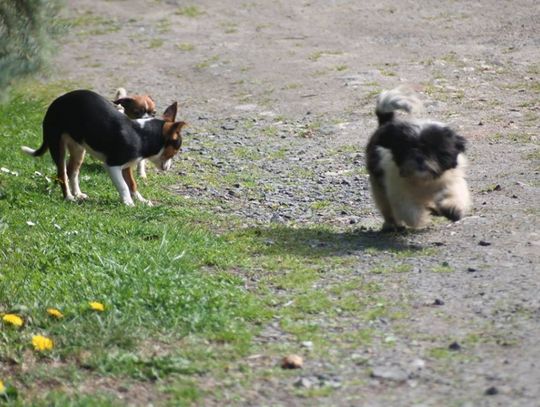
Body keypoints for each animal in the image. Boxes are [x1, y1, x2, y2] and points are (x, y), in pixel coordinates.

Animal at [364, 88, 470, 231]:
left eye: (435, 149)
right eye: (407, 148)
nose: (419, 157)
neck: (423, 181)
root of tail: (385, 124)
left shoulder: (450, 179)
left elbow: (453, 193)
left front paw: (452, 209)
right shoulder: (399, 193)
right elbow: (412, 212)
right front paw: (426, 215)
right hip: (379, 189)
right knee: (387, 209)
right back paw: (391, 225)